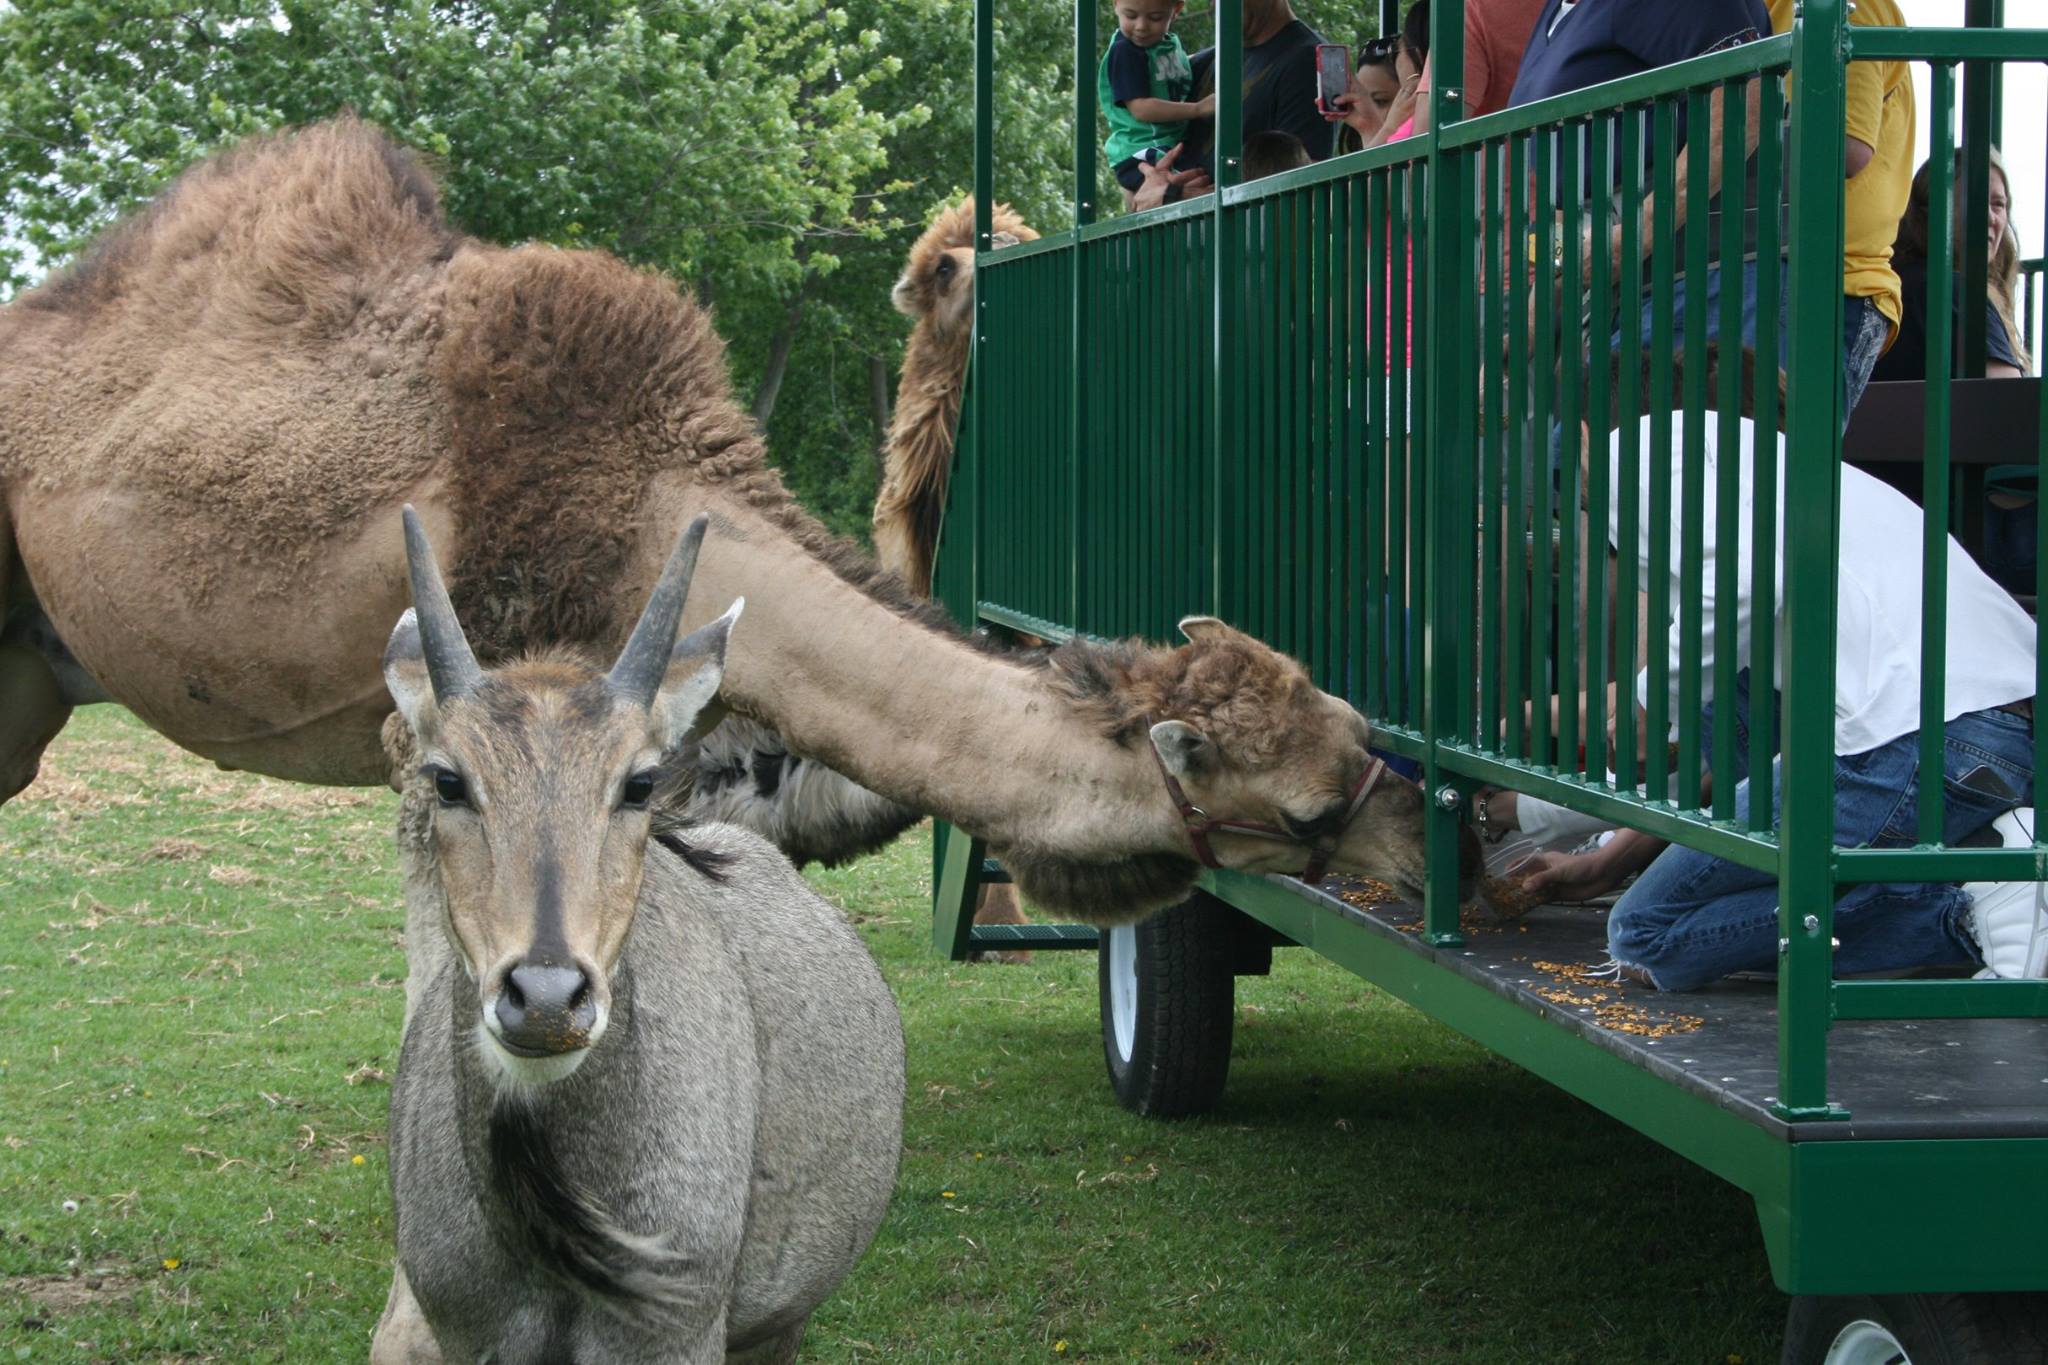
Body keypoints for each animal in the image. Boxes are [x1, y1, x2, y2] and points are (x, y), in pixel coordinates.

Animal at [376, 515, 905, 1365]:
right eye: (448, 779)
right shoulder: (470, 1336)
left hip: (776, 1324)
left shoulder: (674, 1335)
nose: (546, 1000)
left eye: (639, 782)